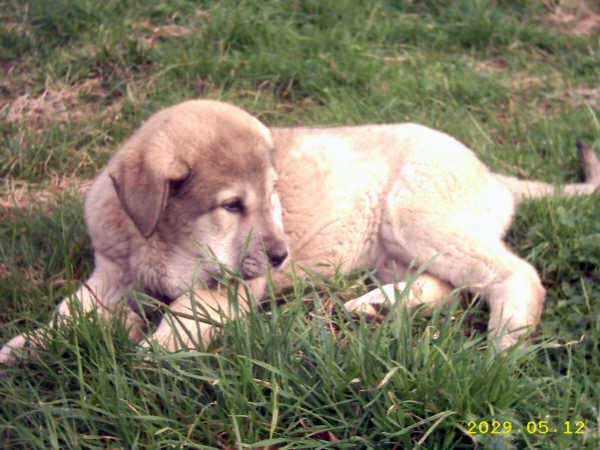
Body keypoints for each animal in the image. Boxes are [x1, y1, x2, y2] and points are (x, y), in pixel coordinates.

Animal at [1, 100, 600, 364]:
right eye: (231, 205)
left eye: (273, 194)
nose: (281, 257)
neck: (164, 240)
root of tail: (492, 175)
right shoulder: (110, 272)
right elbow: (68, 312)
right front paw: (25, 346)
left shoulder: (228, 287)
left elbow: (180, 320)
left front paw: (142, 349)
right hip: (395, 247)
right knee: (443, 287)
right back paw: (373, 307)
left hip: (418, 215)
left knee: (516, 275)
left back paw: (504, 346)